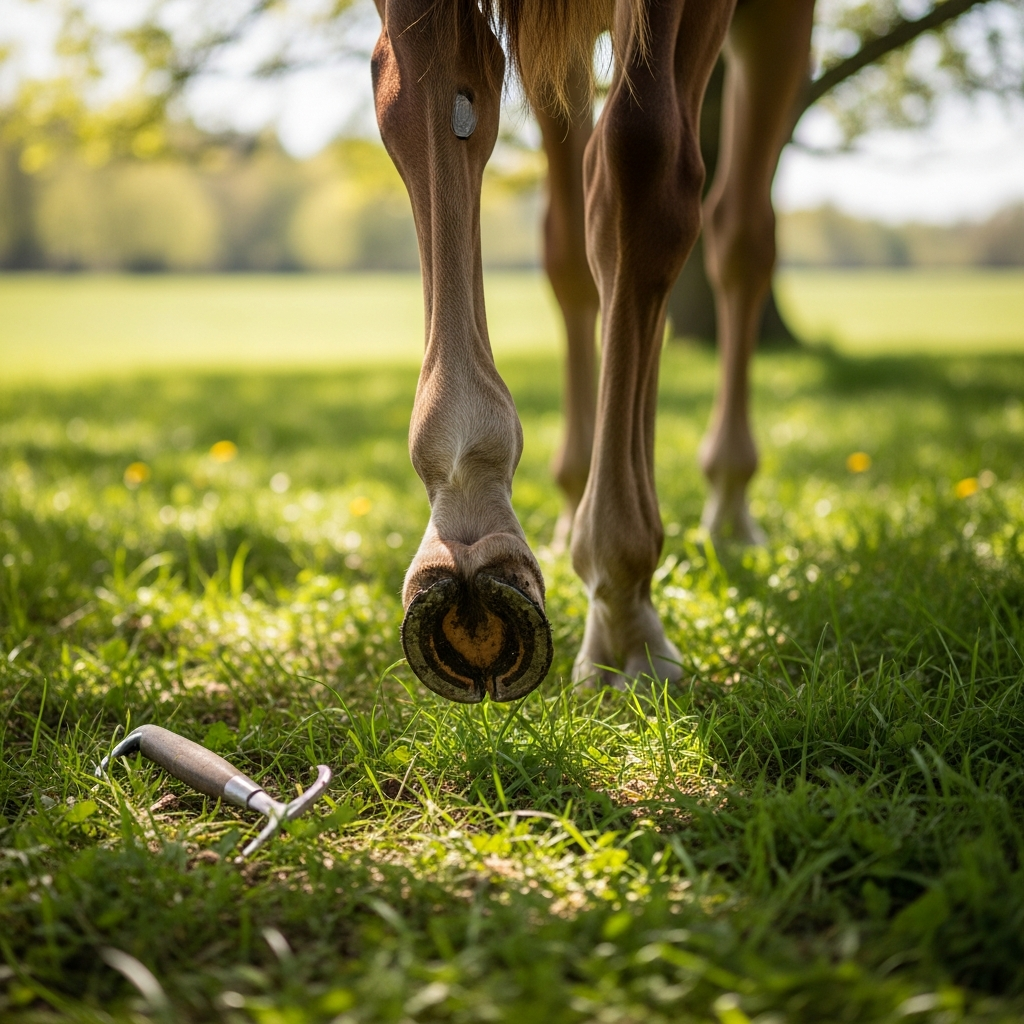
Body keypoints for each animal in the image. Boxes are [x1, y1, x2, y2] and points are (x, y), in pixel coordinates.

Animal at [370, 0, 815, 702]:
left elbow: (644, 168)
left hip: (774, 25)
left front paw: (622, 597)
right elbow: (429, 99)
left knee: (740, 238)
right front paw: (467, 503)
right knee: (577, 249)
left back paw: (726, 501)